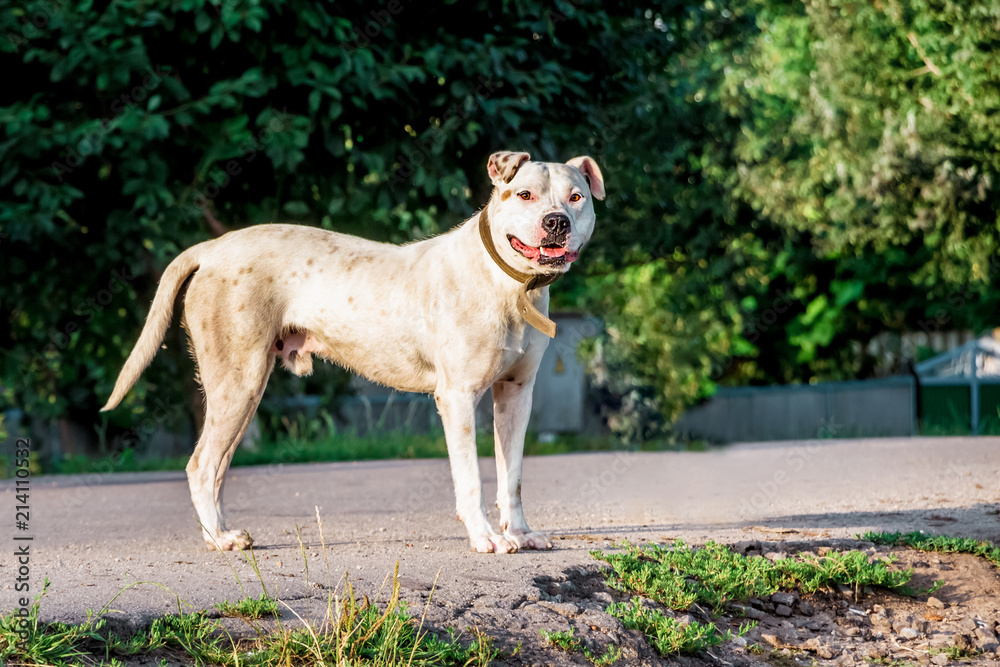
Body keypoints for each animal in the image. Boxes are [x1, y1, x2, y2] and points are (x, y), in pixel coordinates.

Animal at [101, 151, 604, 552]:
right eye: (524, 195)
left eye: (576, 198)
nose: (556, 222)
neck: (509, 285)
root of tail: (212, 247)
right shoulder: (458, 398)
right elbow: (471, 480)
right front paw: (486, 538)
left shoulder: (516, 394)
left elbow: (511, 476)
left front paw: (519, 534)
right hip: (238, 382)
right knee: (202, 465)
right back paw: (220, 539)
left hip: (243, 389)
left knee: (216, 466)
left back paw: (220, 534)